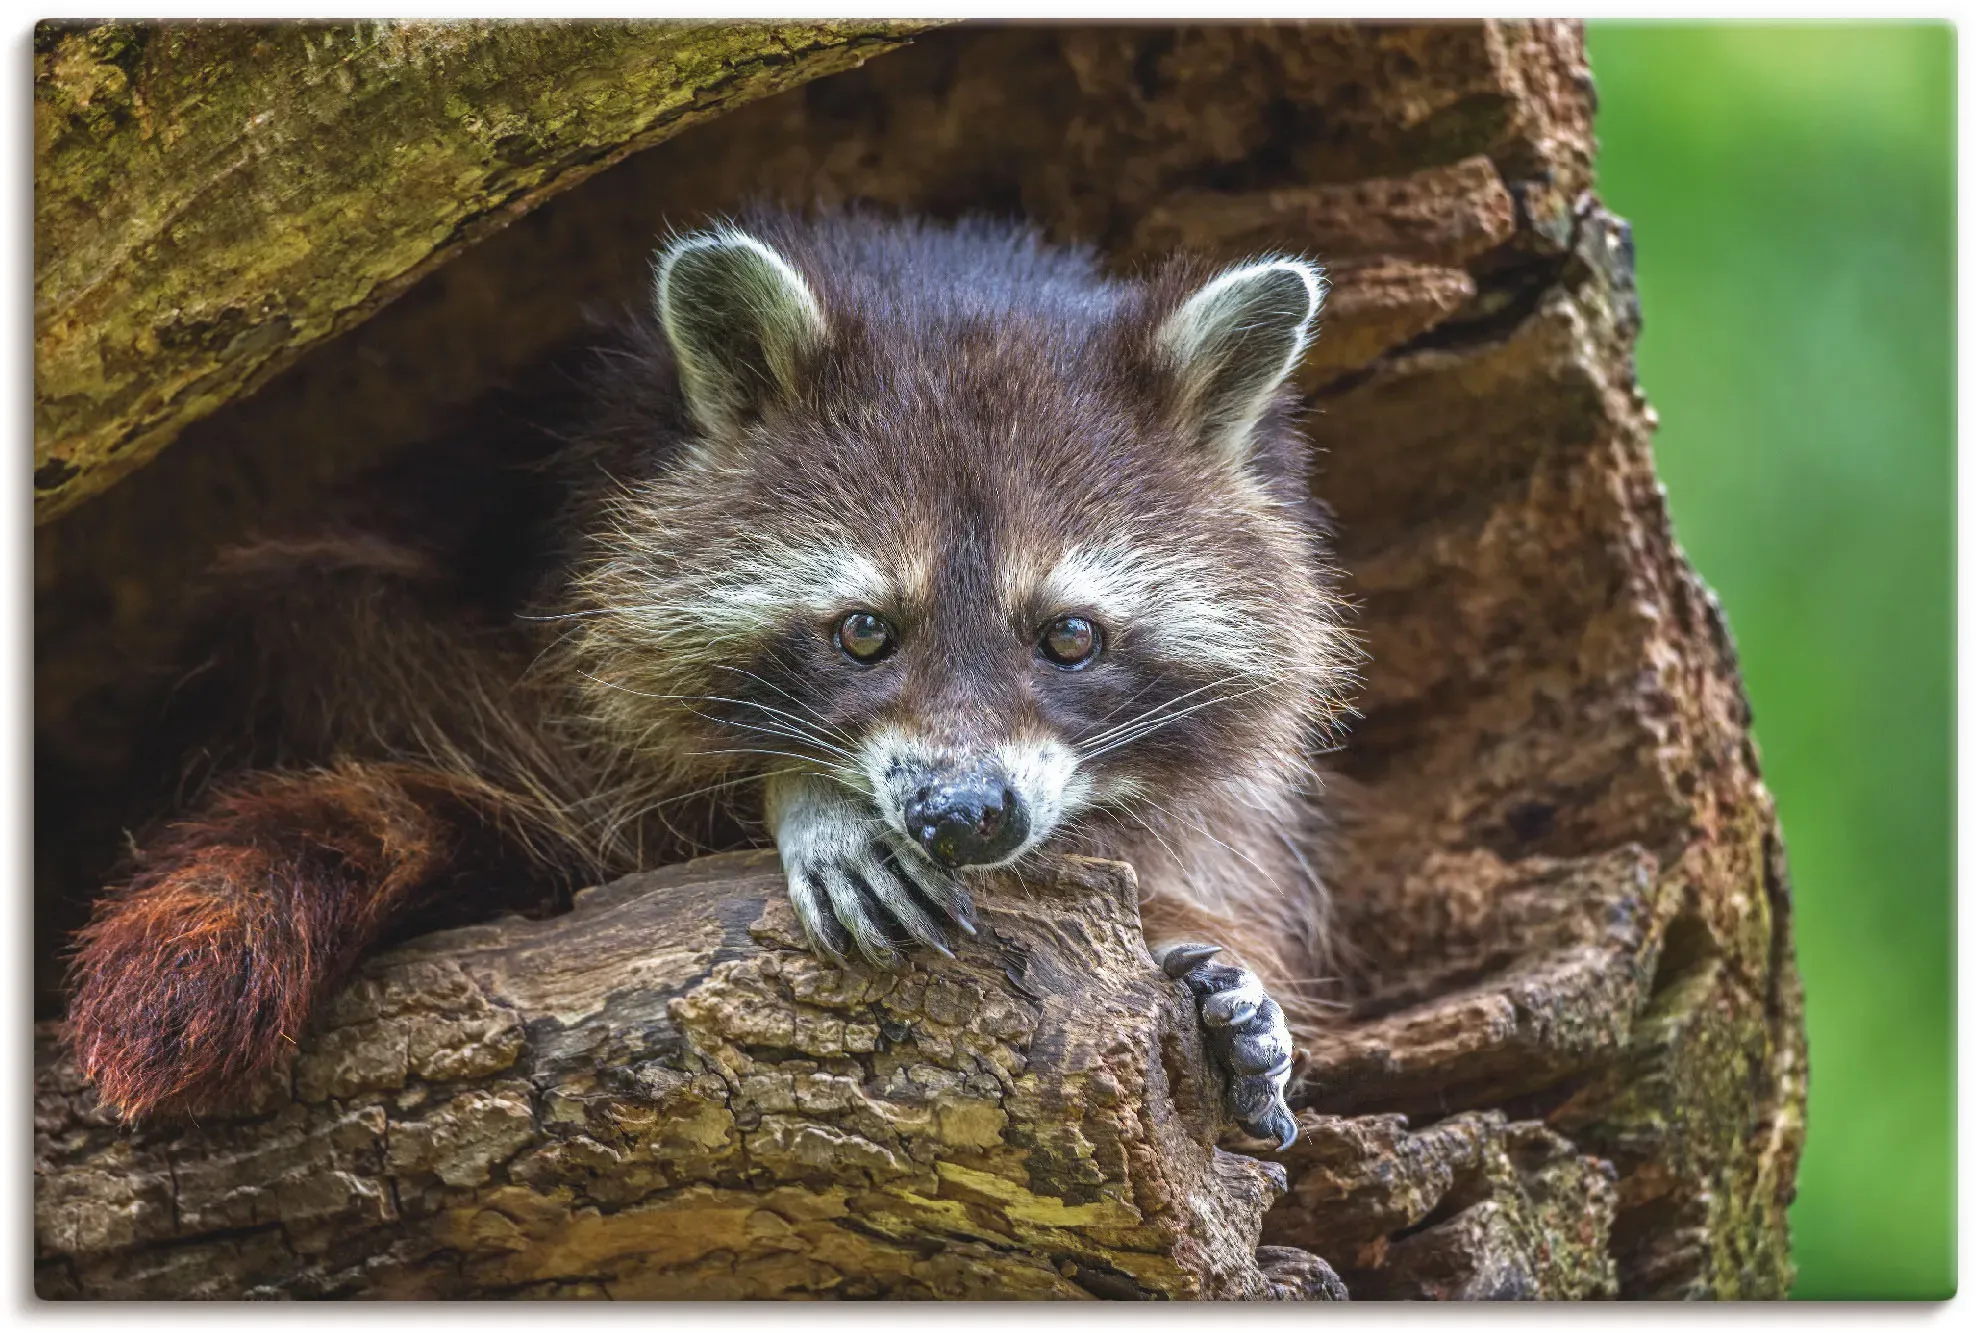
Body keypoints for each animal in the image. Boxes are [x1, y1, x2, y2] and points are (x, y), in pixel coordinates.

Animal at [65, 212, 1362, 1148]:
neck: (953, 271)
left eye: (1072, 639)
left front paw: (1209, 949)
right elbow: (601, 771)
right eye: (862, 633)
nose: (964, 815)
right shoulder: (577, 534)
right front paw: (801, 794)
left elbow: (1207, 832)